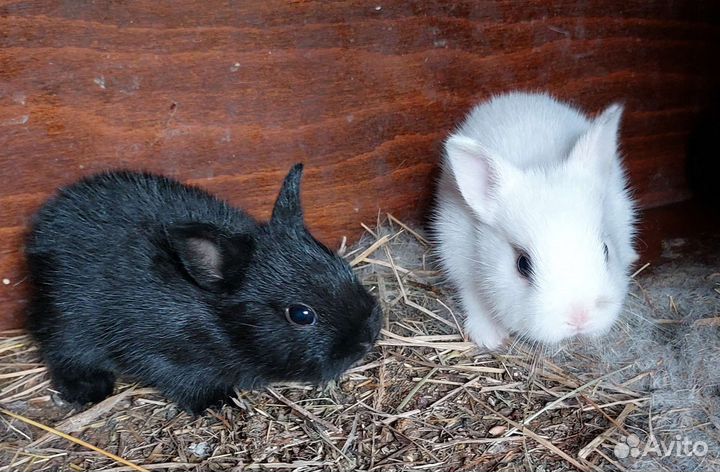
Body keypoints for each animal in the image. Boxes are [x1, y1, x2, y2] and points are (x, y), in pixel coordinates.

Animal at [25, 164, 382, 414]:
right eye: (301, 314)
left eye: (341, 265)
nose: (367, 338)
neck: (215, 319)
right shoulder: (164, 356)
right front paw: (220, 403)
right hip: (70, 323)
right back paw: (89, 390)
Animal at [432, 91, 638, 350]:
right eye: (522, 264)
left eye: (606, 250)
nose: (579, 318)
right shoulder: (459, 261)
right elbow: (472, 297)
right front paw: (490, 337)